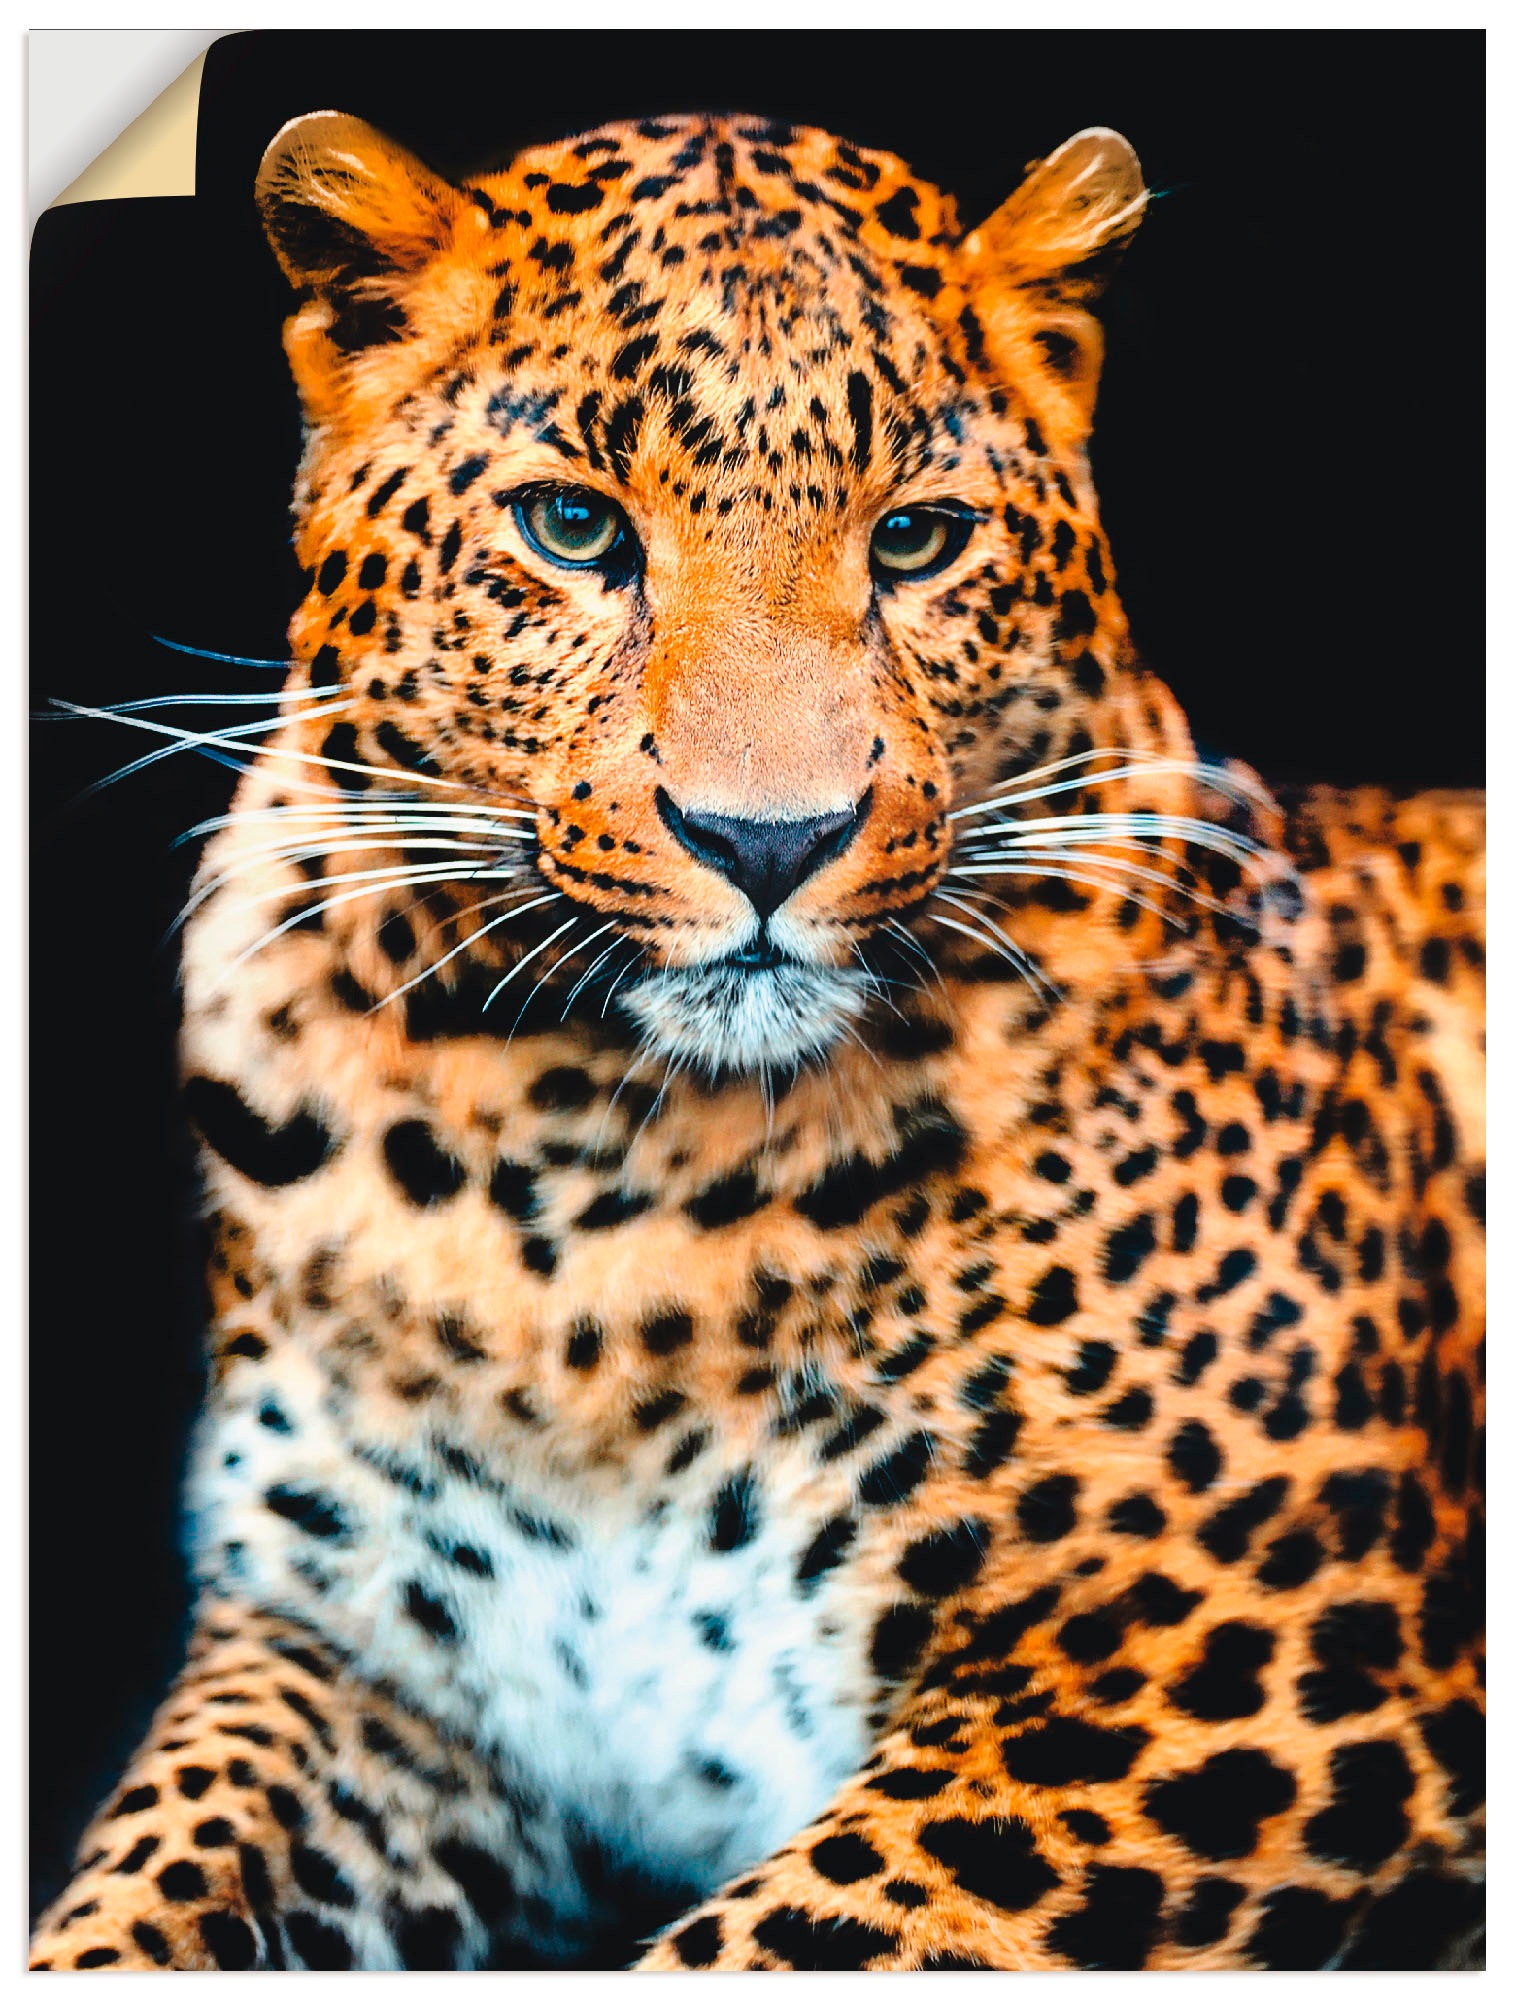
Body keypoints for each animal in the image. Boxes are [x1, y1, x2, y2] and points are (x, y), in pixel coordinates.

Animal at [30, 108, 1484, 1971]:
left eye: (918, 540)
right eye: (573, 527)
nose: (769, 840)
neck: (583, 1184)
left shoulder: (1238, 1656)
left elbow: (780, 1935)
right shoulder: (356, 1663)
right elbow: (144, 1882)